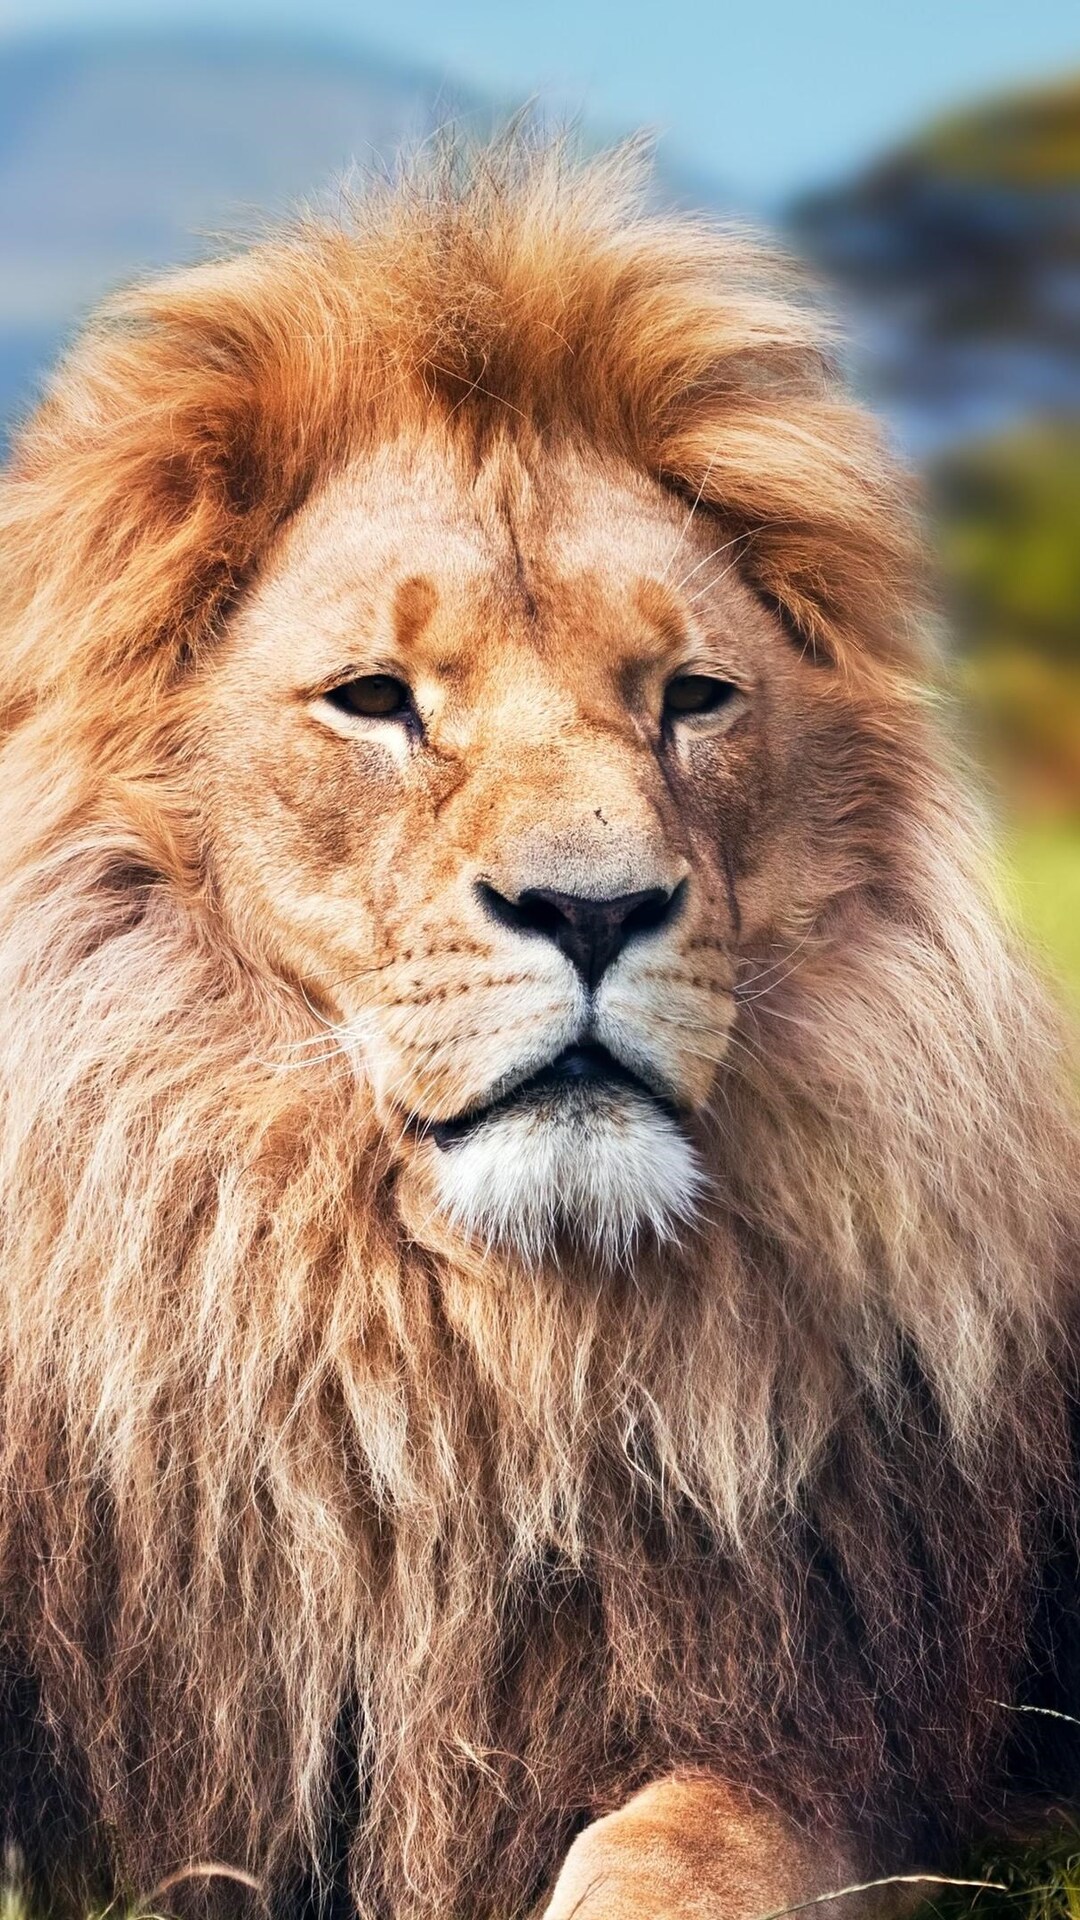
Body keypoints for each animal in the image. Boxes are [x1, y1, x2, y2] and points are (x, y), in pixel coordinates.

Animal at [0, 136, 1077, 1920]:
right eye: (376, 699)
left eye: (692, 697)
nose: (593, 911)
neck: (458, 1354)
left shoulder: (843, 1740)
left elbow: (682, 1844)